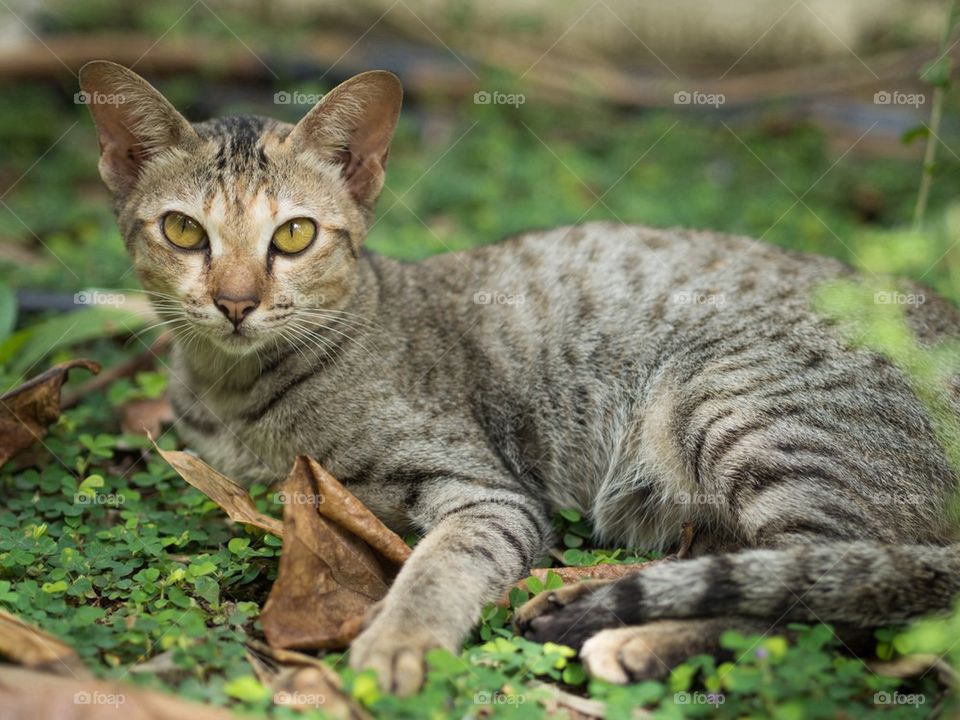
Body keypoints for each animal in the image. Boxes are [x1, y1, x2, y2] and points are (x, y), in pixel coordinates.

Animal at [80, 63, 960, 696]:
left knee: (828, 596)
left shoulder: (487, 491)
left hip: (740, 409)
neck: (234, 393)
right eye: (183, 230)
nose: (235, 302)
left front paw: (398, 640)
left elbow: (440, 564)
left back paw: (635, 641)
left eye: (293, 236)